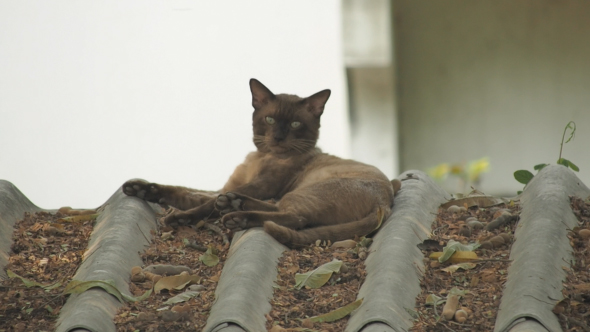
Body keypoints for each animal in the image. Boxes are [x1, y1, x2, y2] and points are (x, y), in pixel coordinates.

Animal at [124, 78, 402, 246]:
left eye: (295, 124)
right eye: (269, 120)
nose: (278, 137)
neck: (261, 156)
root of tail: (384, 203)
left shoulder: (263, 185)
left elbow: (200, 205)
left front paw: (177, 219)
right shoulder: (225, 187)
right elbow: (182, 192)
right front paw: (139, 189)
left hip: (304, 192)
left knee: (295, 218)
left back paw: (237, 216)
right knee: (276, 209)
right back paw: (234, 204)